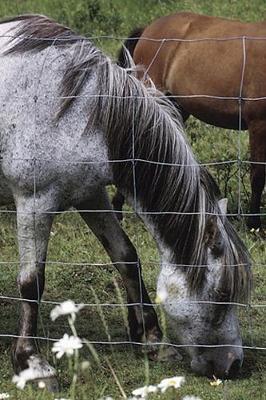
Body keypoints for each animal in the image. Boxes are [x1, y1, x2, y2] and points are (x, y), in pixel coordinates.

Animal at [0, 14, 250, 390]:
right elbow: (32, 283)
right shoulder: (35, 203)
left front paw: (151, 339)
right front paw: (33, 364)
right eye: (221, 295)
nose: (233, 364)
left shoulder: (90, 195)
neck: (79, 109)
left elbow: (126, 256)